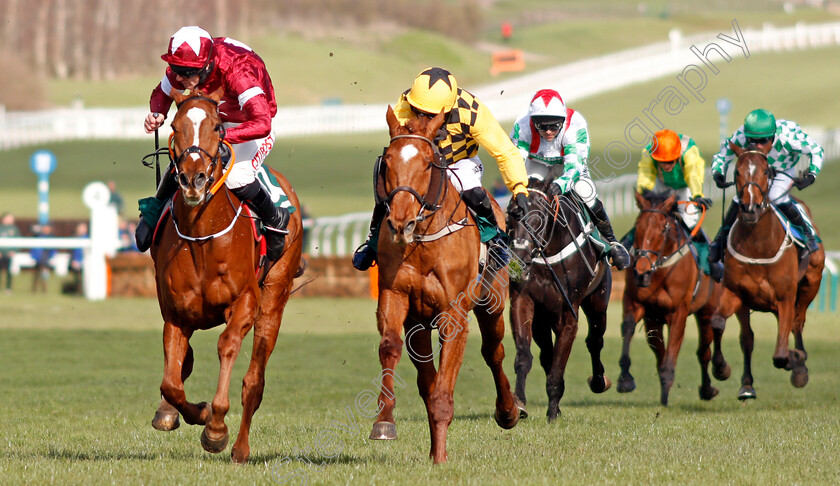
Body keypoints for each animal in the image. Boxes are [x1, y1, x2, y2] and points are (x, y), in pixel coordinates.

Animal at [149, 88, 304, 464]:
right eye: (174, 126)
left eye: (218, 127)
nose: (193, 180)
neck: (204, 237)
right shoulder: (175, 314)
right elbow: (171, 383)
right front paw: (195, 412)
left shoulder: (245, 303)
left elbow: (227, 345)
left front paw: (216, 428)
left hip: (274, 298)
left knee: (254, 382)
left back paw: (240, 448)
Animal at [370, 105, 520, 464]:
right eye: (389, 161)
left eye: (428, 162)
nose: (401, 223)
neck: (423, 242)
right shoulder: (397, 298)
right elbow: (391, 347)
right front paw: (384, 422)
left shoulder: (454, 314)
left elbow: (443, 390)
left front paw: (440, 459)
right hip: (421, 324)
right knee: (427, 378)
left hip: (491, 304)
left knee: (493, 351)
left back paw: (509, 411)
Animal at [506, 176, 612, 422]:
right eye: (510, 217)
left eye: (539, 220)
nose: (518, 262)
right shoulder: (523, 301)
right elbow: (524, 356)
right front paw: (519, 403)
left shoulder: (568, 316)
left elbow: (557, 370)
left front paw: (552, 413)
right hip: (542, 319)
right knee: (547, 354)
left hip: (598, 302)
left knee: (595, 341)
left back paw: (599, 382)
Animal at [612, 192, 732, 404]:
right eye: (638, 227)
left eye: (662, 229)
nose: (641, 272)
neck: (659, 271)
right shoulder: (640, 307)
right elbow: (630, 328)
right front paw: (625, 380)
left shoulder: (678, 312)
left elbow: (671, 353)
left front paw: (665, 395)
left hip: (707, 309)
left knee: (707, 347)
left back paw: (716, 376)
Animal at [712, 143, 824, 398]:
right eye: (737, 171)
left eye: (765, 171)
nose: (750, 208)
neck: (758, 246)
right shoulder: (736, 293)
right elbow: (720, 324)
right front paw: (721, 368)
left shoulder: (785, 297)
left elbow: (781, 354)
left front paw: (796, 360)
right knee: (748, 338)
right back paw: (747, 385)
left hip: (810, 283)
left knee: (797, 323)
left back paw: (800, 366)